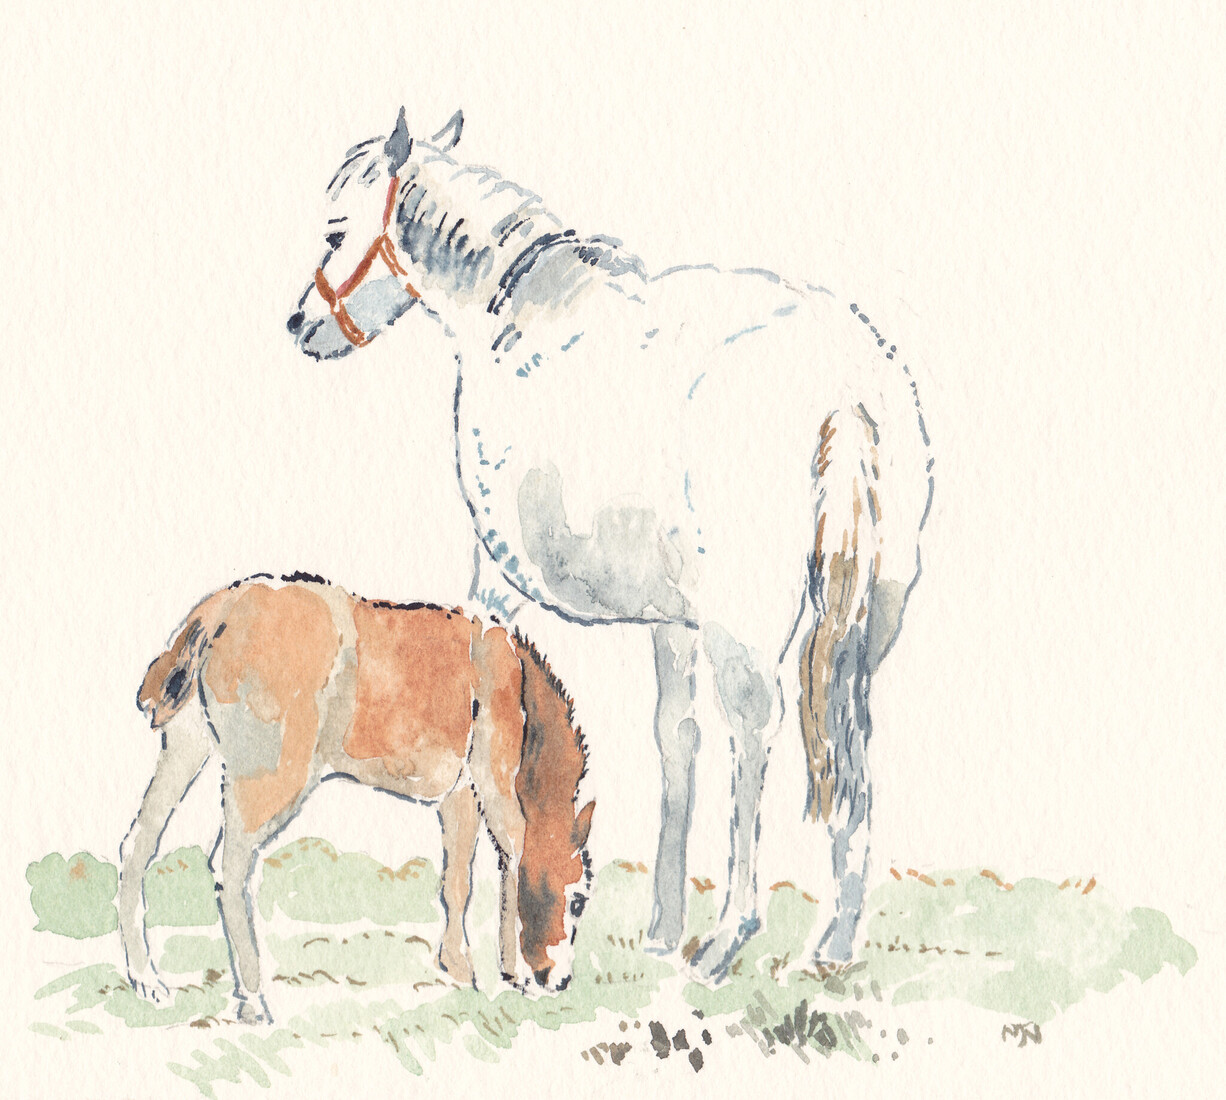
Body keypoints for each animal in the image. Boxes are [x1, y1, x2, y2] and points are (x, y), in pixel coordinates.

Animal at [118, 573, 595, 1023]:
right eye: (578, 900)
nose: (560, 981)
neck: (512, 675)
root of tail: (225, 604)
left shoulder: (459, 796)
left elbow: (457, 879)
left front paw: (461, 970)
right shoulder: (493, 786)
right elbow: (514, 852)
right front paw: (513, 976)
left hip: (185, 751)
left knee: (138, 846)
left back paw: (146, 981)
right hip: (269, 782)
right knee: (228, 869)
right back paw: (252, 1000)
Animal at [286, 109, 934, 979]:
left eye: (335, 230)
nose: (302, 325)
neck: (516, 318)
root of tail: (847, 388)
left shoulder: (495, 587)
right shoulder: (672, 620)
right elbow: (675, 741)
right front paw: (660, 925)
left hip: (746, 633)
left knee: (756, 735)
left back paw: (732, 934)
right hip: (871, 621)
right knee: (848, 735)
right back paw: (834, 942)